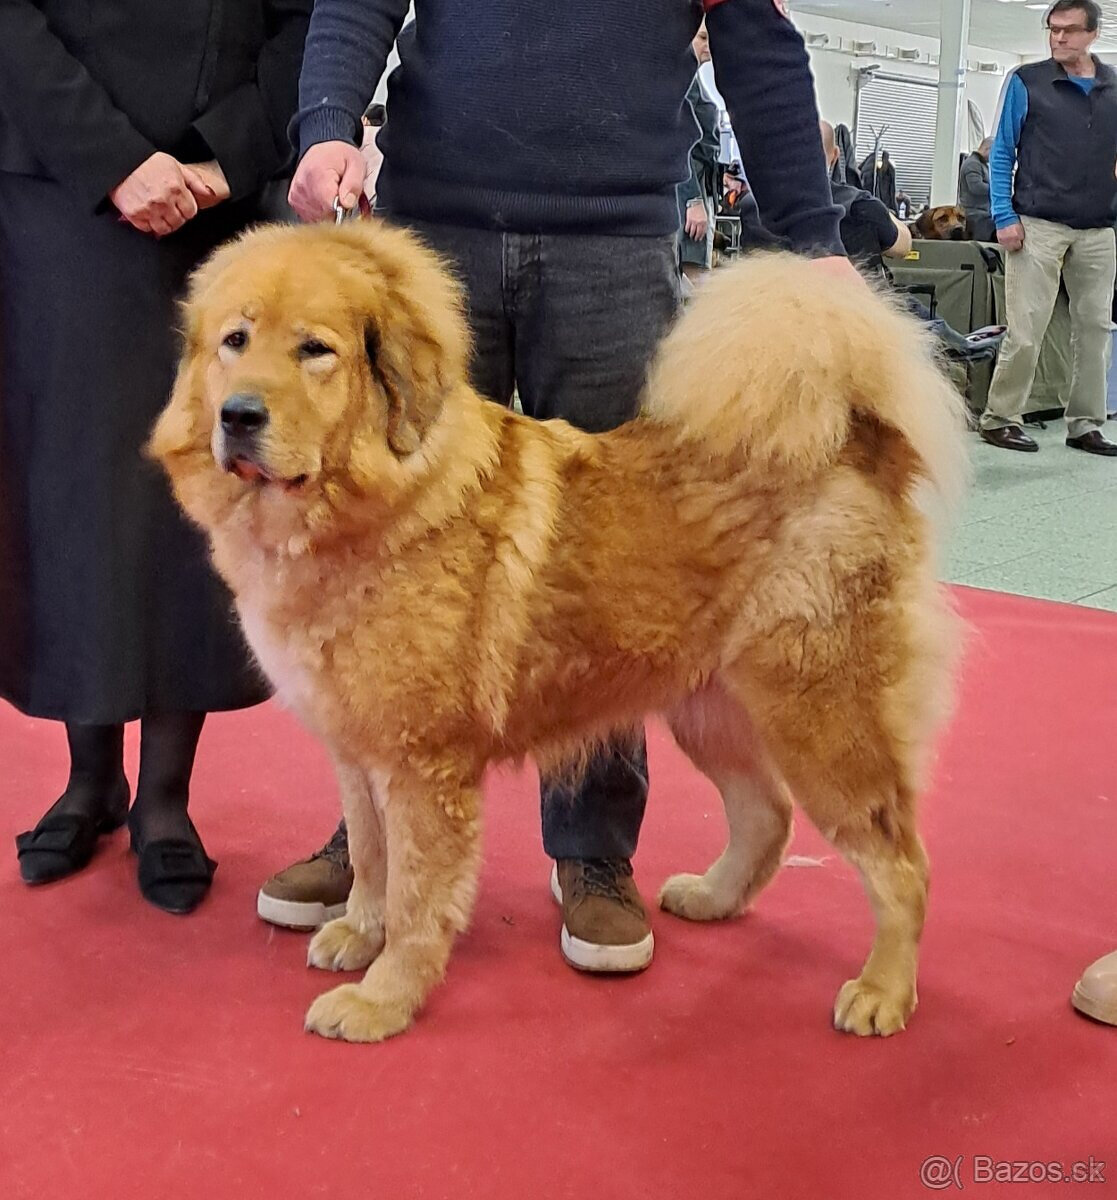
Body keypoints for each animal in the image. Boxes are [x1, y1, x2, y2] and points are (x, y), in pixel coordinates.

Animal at [150, 223, 969, 1041]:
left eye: (314, 350)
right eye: (235, 341)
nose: (239, 415)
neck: (372, 506)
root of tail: (858, 443)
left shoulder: (422, 766)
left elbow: (416, 896)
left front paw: (383, 999)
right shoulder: (357, 753)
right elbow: (372, 861)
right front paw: (358, 932)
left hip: (821, 724)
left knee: (903, 866)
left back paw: (882, 992)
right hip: (710, 709)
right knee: (766, 815)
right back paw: (711, 898)